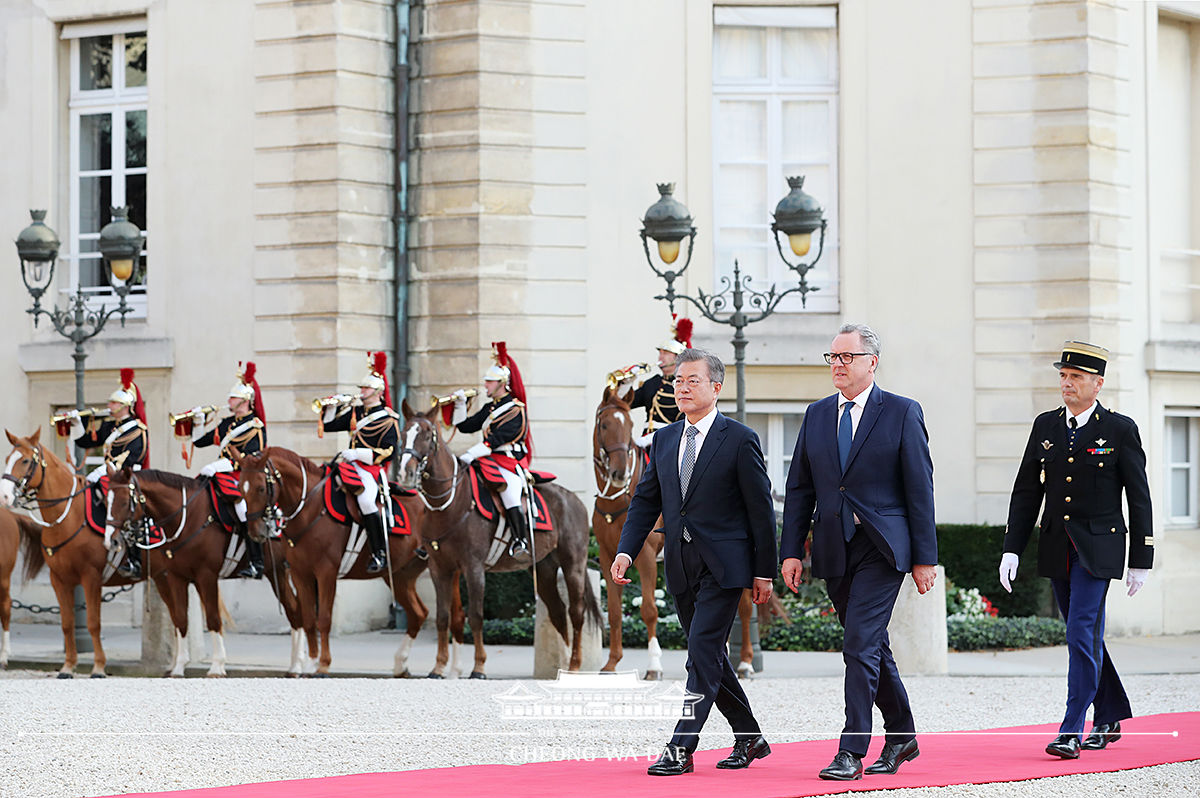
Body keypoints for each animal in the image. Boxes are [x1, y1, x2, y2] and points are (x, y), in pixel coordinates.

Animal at [0, 427, 139, 676]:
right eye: (7, 459)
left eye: (25, 460)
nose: (5, 496)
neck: (67, 517)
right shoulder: (59, 579)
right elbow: (67, 623)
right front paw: (68, 666)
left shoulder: (91, 577)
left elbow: (93, 623)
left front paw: (98, 667)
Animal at [236, 444, 456, 676]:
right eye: (240, 488)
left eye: (261, 488)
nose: (255, 531)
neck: (309, 509)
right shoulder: (300, 574)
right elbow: (308, 620)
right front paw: (311, 663)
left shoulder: (326, 573)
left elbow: (324, 619)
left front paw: (323, 665)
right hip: (399, 576)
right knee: (419, 613)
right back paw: (401, 664)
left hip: (445, 568)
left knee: (453, 615)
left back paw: (447, 668)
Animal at [393, 398, 600, 676]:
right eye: (404, 433)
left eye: (427, 434)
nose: (405, 473)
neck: (449, 503)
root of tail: (573, 498)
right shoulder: (440, 569)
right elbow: (442, 617)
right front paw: (438, 667)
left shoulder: (473, 568)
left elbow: (476, 616)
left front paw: (478, 667)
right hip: (544, 569)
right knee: (557, 612)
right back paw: (563, 667)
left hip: (573, 565)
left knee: (576, 612)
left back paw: (575, 665)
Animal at [588, 388, 667, 676]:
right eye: (604, 424)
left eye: (630, 426)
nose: (619, 473)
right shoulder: (609, 557)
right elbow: (613, 612)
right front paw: (611, 662)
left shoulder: (646, 557)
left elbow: (649, 609)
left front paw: (654, 664)